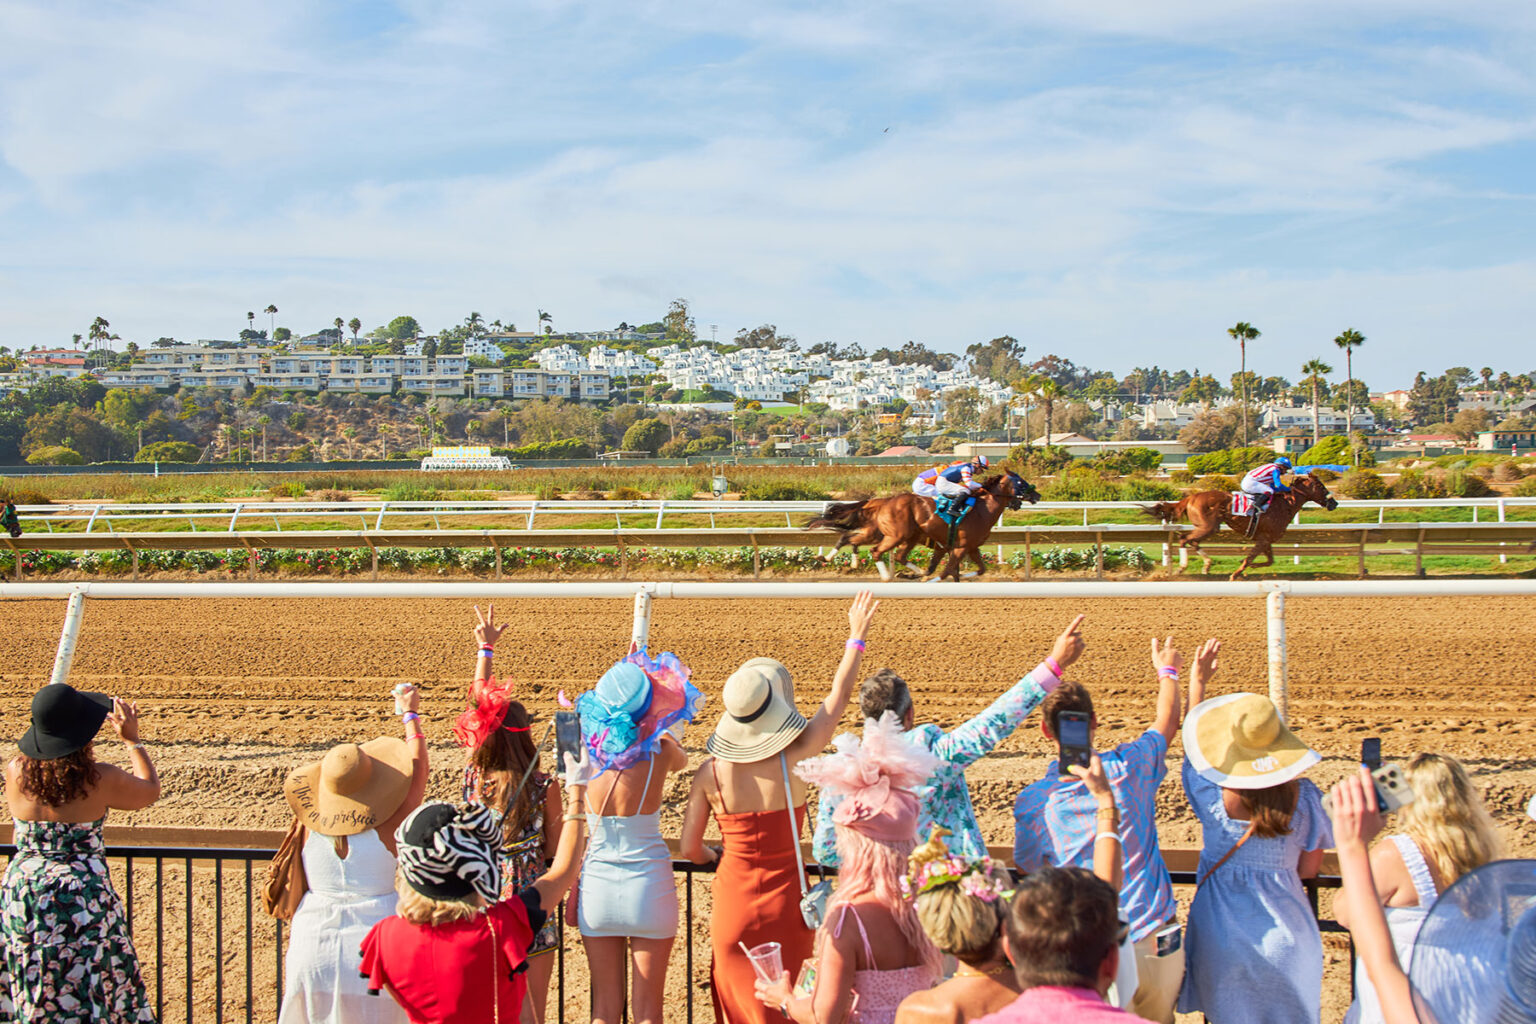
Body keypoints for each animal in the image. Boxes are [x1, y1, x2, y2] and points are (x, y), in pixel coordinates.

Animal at [806, 471, 1041, 582]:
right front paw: (926, 578)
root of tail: (881, 501)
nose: (1037, 495)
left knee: (852, 540)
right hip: (895, 536)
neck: (982, 509)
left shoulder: (964, 547)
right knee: (875, 551)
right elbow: (947, 571)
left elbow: (970, 570)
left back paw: (839, 561)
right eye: (1020, 482)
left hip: (888, 535)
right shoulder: (959, 547)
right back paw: (885, 576)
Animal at [1139, 474, 1338, 579]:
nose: (1334, 503)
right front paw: (1235, 574)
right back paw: (1182, 568)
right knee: (1184, 539)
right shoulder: (1264, 539)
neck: (1285, 504)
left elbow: (1269, 560)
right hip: (1208, 526)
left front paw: (1252, 568)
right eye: (1321, 486)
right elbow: (1249, 559)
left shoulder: (1265, 539)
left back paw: (1206, 564)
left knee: (1191, 541)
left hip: (1209, 527)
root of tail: (1190, 498)